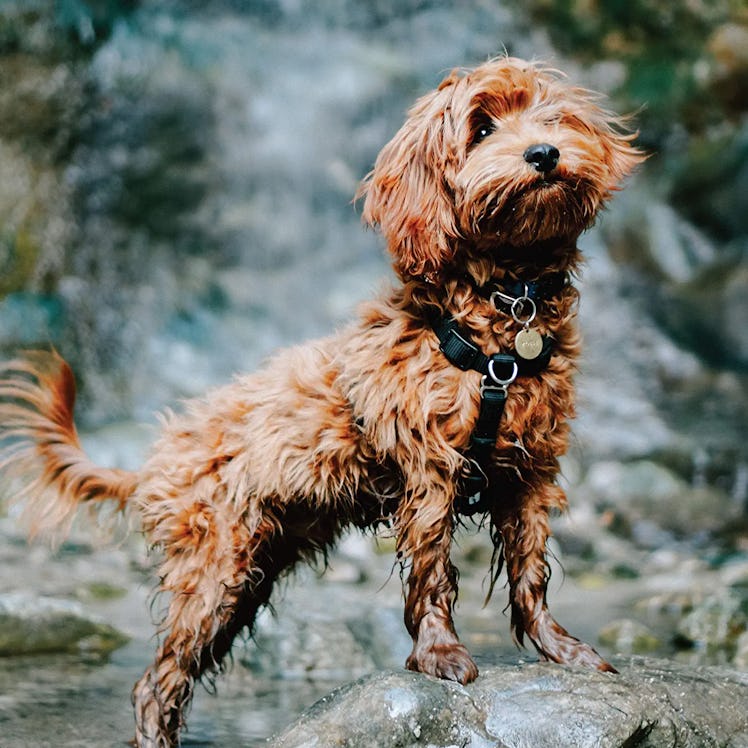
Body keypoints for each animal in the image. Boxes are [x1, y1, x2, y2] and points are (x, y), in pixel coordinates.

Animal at [0, 58, 644, 748]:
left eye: (551, 117)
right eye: (481, 128)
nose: (544, 153)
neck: (503, 318)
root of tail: (156, 460)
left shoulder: (531, 472)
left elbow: (531, 571)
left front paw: (559, 649)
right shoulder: (430, 470)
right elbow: (433, 570)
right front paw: (441, 656)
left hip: (247, 579)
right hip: (214, 573)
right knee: (157, 682)